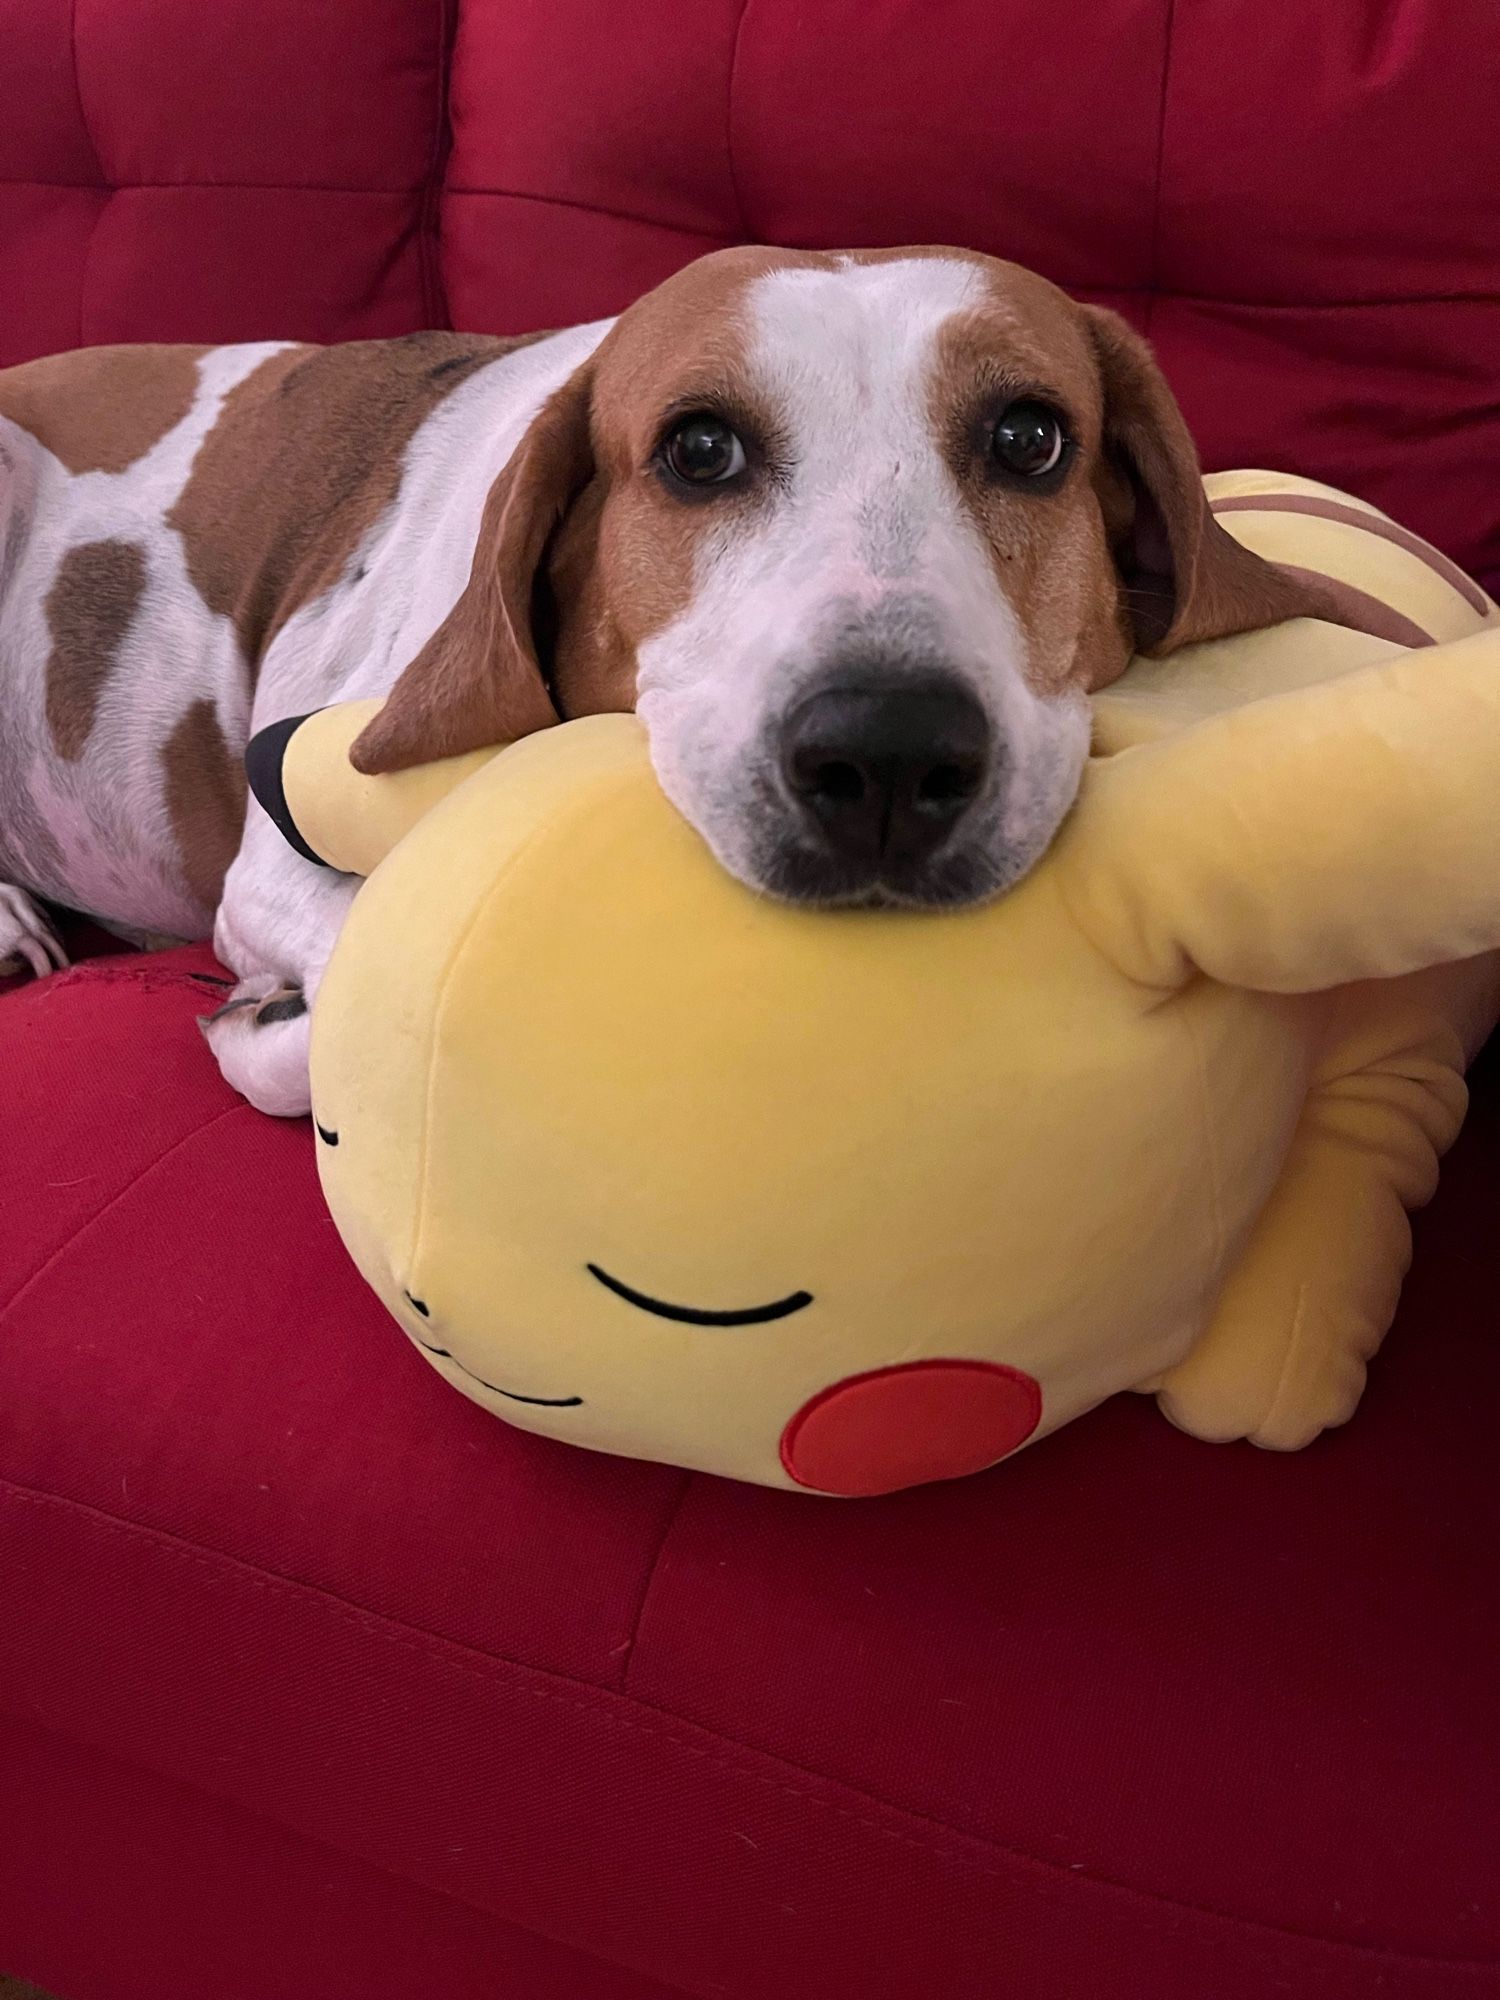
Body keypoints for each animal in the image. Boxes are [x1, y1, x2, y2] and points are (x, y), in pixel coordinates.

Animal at [0, 244, 1352, 1120]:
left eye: (1030, 438)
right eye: (701, 449)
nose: (889, 753)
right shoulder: (275, 865)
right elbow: (359, 978)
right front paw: (264, 1016)